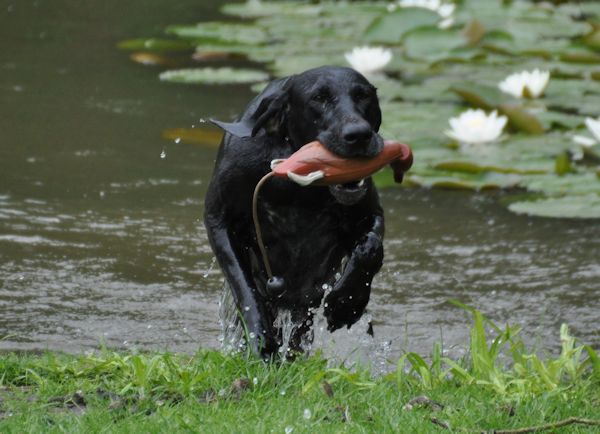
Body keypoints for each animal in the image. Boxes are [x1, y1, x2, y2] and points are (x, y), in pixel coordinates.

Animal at [205, 66, 384, 358]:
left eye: (363, 95)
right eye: (318, 98)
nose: (358, 134)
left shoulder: (369, 213)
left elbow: (372, 249)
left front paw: (347, 303)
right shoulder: (219, 221)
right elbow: (244, 287)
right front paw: (259, 336)